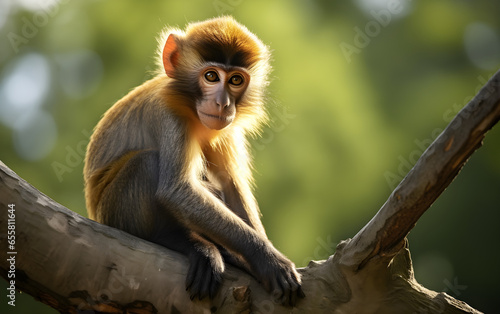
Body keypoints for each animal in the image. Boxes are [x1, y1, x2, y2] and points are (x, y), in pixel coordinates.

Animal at [83, 15, 302, 306]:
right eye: (211, 76)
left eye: (235, 80)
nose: (222, 103)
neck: (190, 106)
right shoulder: (169, 113)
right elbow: (176, 189)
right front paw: (267, 259)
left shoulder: (226, 128)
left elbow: (230, 186)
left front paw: (258, 257)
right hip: (113, 212)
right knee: (147, 163)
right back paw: (179, 240)